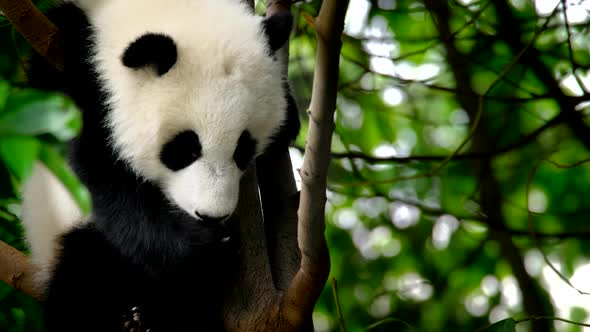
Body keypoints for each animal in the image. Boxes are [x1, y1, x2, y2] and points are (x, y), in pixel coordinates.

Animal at [23, 0, 300, 330]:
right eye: (184, 149)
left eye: (243, 149)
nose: (210, 215)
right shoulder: (72, 68)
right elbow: (104, 175)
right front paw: (205, 249)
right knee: (84, 277)